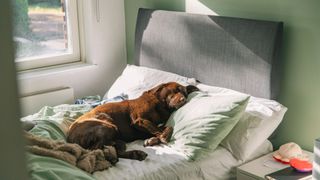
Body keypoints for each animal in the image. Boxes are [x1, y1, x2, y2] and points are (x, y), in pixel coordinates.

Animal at [66, 81, 199, 160]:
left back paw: (134, 154)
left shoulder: (154, 125)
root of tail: (70, 139)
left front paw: (153, 139)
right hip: (108, 125)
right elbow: (156, 129)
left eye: (185, 93)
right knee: (95, 150)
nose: (183, 100)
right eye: (176, 90)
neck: (161, 105)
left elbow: (167, 127)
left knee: (113, 150)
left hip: (118, 139)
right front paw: (161, 137)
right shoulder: (139, 120)